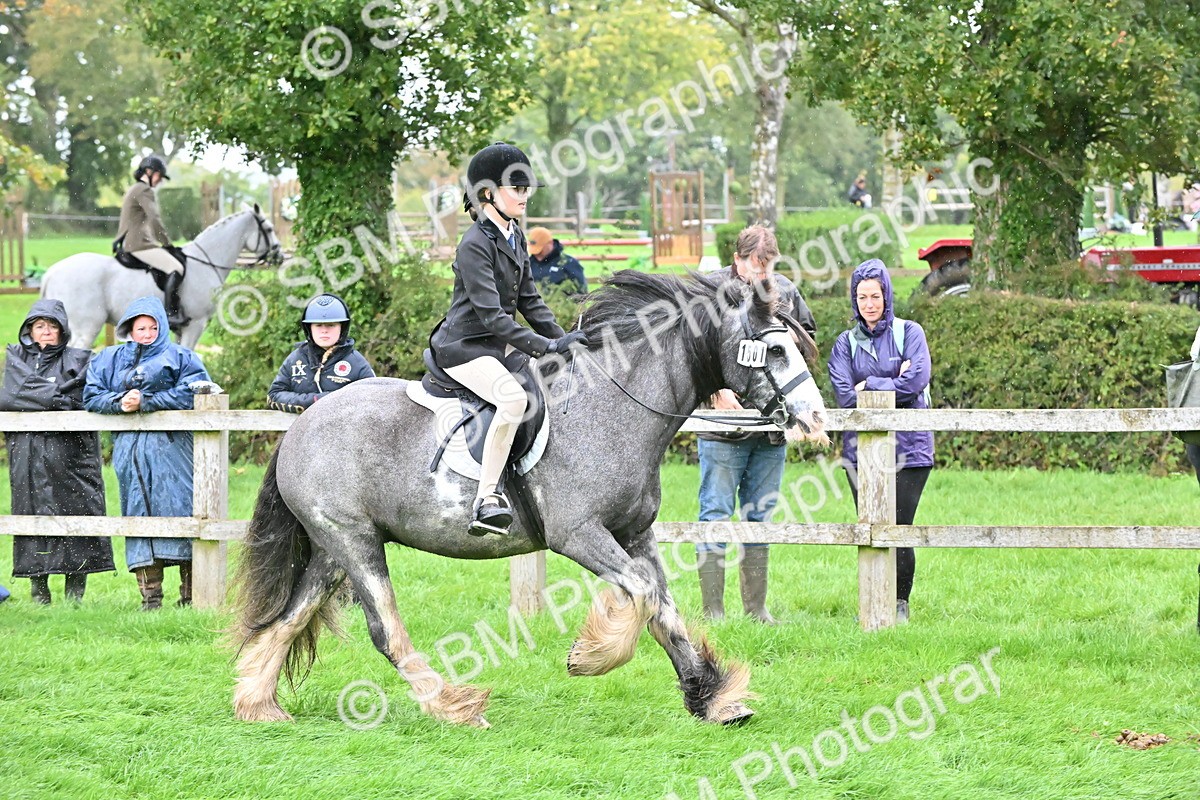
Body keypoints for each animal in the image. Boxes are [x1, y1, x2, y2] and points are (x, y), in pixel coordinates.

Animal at [39, 206, 282, 350]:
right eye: (269, 229)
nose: (279, 256)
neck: (205, 262)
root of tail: (52, 272)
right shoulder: (196, 324)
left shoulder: (181, 329)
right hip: (87, 328)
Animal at [231, 270, 829, 728]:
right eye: (776, 349)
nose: (816, 421)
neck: (616, 403)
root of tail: (302, 424)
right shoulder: (579, 534)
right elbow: (639, 594)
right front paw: (590, 657)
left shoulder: (634, 532)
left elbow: (664, 608)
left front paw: (712, 698)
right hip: (354, 543)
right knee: (384, 631)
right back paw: (455, 706)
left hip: (333, 550)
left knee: (287, 619)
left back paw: (257, 705)